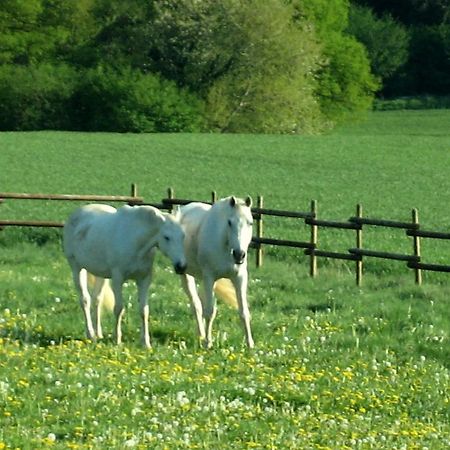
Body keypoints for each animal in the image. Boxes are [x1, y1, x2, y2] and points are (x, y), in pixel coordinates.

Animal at [62, 204, 185, 348]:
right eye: (166, 237)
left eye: (183, 236)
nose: (181, 266)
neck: (135, 241)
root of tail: (77, 212)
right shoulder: (118, 279)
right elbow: (119, 308)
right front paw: (117, 340)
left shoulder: (144, 280)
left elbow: (144, 310)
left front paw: (146, 343)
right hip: (77, 268)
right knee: (85, 300)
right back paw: (90, 334)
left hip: (101, 275)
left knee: (97, 299)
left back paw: (98, 334)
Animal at [180, 196, 256, 348]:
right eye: (229, 222)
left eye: (250, 223)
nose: (239, 255)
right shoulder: (209, 277)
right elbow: (210, 311)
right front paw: (208, 343)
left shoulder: (239, 278)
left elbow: (244, 311)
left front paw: (250, 344)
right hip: (187, 275)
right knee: (196, 305)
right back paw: (201, 336)